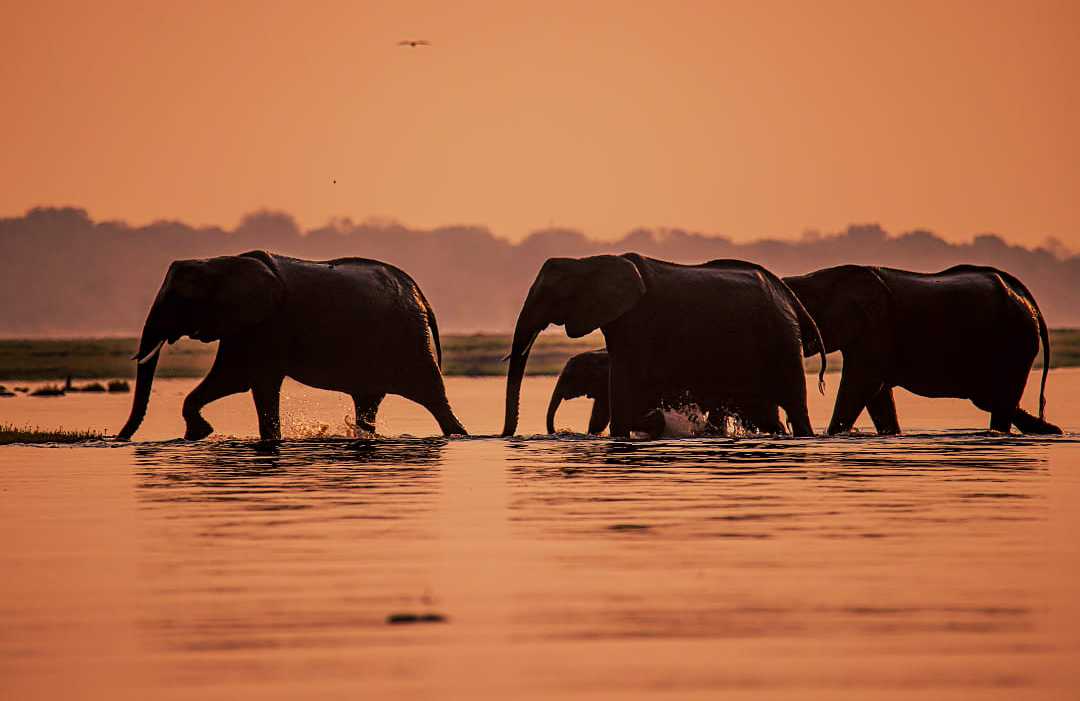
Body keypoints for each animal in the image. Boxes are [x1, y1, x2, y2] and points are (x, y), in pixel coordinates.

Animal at [116, 250, 467, 441]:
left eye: (179, 300)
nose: (116, 439)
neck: (222, 263)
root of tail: (420, 294)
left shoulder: (267, 324)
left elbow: (253, 381)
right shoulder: (244, 327)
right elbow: (232, 379)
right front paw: (197, 434)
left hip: (409, 339)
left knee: (432, 396)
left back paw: (459, 435)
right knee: (369, 400)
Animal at [783, 264, 1062, 435]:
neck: (815, 278)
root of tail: (1026, 296)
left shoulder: (875, 326)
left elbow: (862, 383)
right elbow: (877, 393)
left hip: (1015, 339)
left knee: (997, 399)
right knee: (993, 399)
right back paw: (1050, 431)